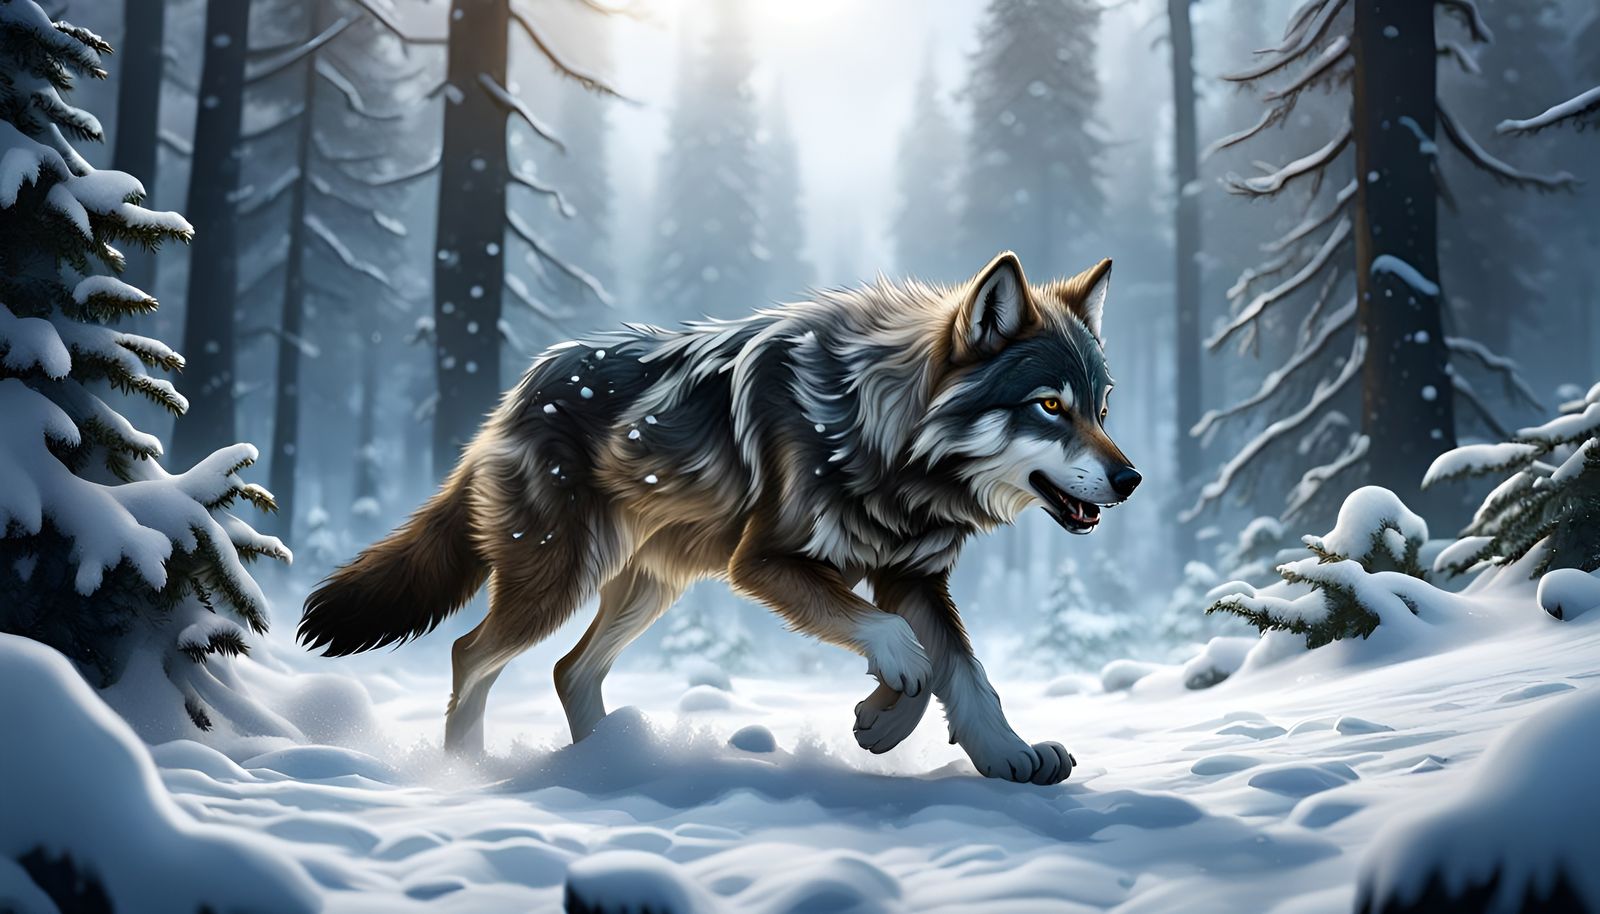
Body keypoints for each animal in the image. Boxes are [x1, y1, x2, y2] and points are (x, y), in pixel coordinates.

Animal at [299, 251, 1140, 784]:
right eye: (1049, 406)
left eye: (1101, 410)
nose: (1131, 479)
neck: (882, 437)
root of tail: (510, 397)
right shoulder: (763, 563)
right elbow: (908, 651)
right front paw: (888, 709)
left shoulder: (914, 578)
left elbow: (964, 672)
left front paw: (999, 752)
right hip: (560, 582)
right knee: (469, 654)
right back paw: (466, 771)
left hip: (649, 589)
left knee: (569, 670)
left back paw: (610, 767)